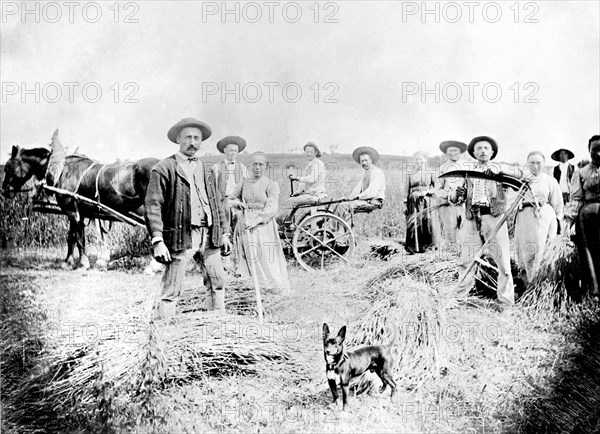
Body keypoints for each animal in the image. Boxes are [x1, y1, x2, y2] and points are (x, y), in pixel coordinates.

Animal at [2, 131, 157, 270]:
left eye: (8, 168)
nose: (4, 191)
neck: (62, 170)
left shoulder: (72, 211)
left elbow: (78, 237)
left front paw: (83, 263)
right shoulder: (78, 212)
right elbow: (72, 237)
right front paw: (68, 262)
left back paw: (154, 266)